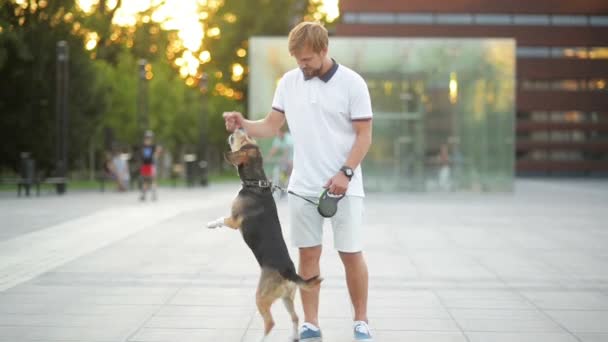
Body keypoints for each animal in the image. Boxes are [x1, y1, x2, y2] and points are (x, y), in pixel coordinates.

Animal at [208, 129, 324, 342]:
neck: (256, 183)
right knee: (295, 317)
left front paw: (210, 224)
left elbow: (221, 219)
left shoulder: (234, 220)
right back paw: (293, 336)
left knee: (270, 323)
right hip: (287, 297)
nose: (240, 129)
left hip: (261, 297)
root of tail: (289, 273)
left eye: (244, 140)